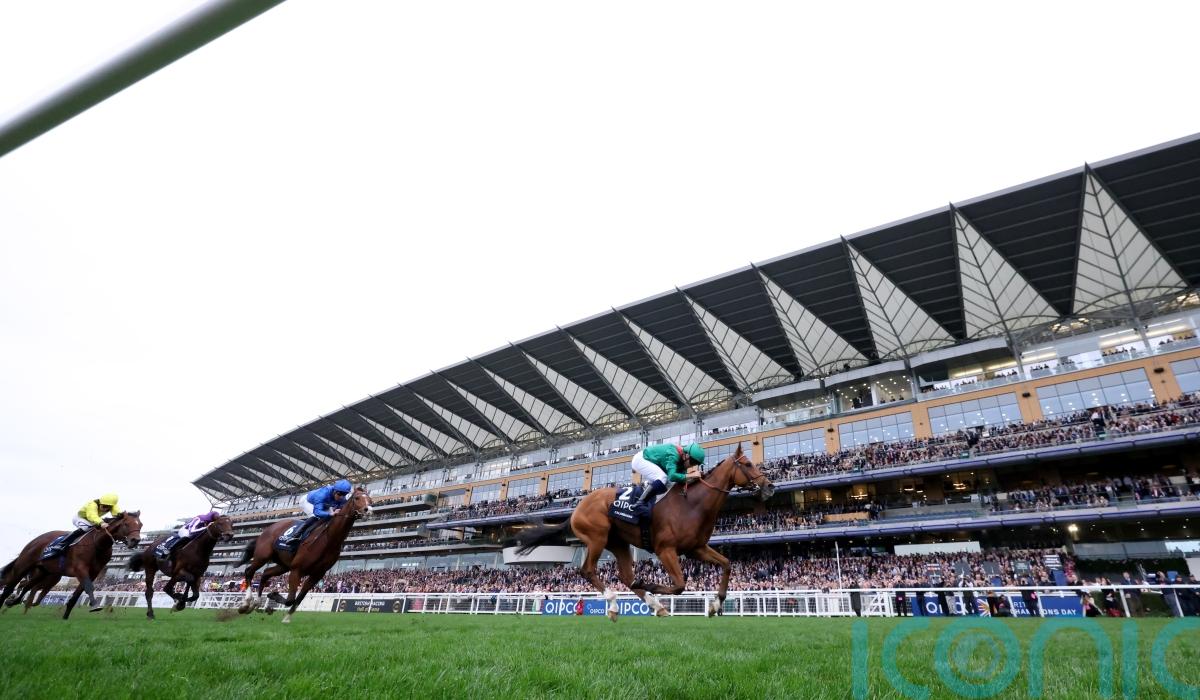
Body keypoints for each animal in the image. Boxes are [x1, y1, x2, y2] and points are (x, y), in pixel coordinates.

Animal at [0, 511, 143, 619]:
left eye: (140, 524)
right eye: (126, 524)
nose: (135, 540)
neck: (98, 543)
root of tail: (35, 540)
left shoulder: (94, 572)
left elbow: (78, 593)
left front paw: (65, 616)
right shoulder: (80, 568)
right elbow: (88, 587)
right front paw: (95, 605)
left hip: (43, 571)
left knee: (27, 586)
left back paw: (14, 601)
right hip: (23, 565)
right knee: (10, 588)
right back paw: (7, 600)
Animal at [235, 486, 373, 623]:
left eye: (370, 500)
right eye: (357, 498)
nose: (369, 510)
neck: (329, 539)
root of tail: (268, 529)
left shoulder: (317, 574)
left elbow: (299, 598)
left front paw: (286, 616)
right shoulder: (297, 569)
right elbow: (290, 599)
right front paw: (273, 596)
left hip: (283, 565)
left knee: (265, 573)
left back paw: (257, 603)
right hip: (262, 557)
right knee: (249, 571)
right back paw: (246, 603)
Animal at [510, 443, 773, 620]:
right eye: (747, 464)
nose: (770, 486)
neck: (692, 505)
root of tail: (576, 509)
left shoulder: (696, 548)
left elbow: (727, 564)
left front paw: (716, 605)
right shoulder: (665, 549)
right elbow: (679, 585)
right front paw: (651, 585)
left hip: (618, 543)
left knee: (626, 577)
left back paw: (655, 605)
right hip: (597, 537)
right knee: (588, 570)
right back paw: (614, 603)